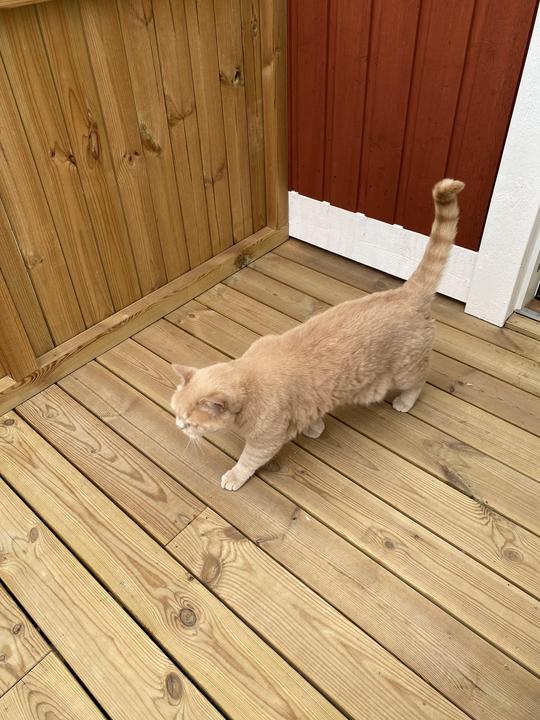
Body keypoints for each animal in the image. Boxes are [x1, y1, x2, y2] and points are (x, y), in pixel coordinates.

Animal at [171, 178, 464, 491]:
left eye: (190, 422)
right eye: (176, 413)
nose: (178, 426)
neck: (247, 377)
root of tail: (407, 292)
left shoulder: (265, 440)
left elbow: (249, 460)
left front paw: (234, 476)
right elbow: (309, 417)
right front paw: (315, 427)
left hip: (405, 370)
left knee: (418, 382)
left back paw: (405, 402)